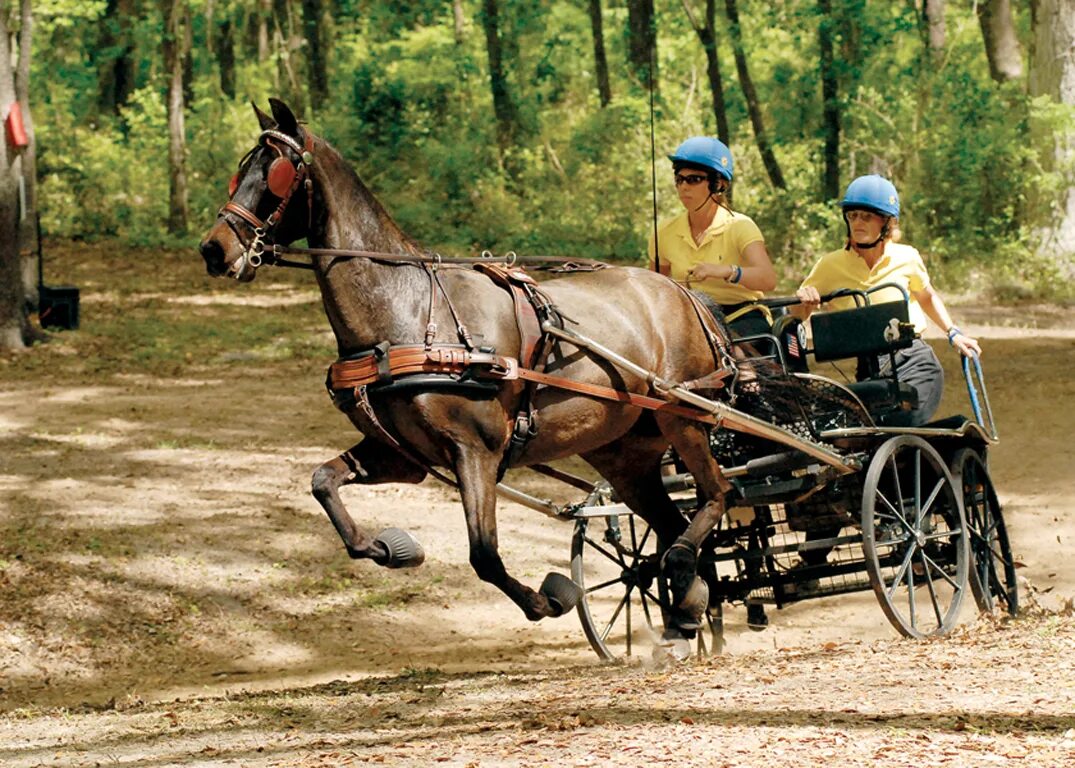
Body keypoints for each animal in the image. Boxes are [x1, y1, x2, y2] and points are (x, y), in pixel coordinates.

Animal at [199, 98, 739, 641]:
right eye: (239, 172)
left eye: (276, 174)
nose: (213, 248)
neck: (410, 314)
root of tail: (685, 293)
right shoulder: (401, 455)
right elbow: (323, 483)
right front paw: (391, 549)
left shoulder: (475, 450)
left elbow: (484, 555)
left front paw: (549, 598)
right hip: (624, 452)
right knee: (672, 525)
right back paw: (687, 604)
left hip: (683, 418)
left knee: (716, 496)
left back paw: (684, 582)